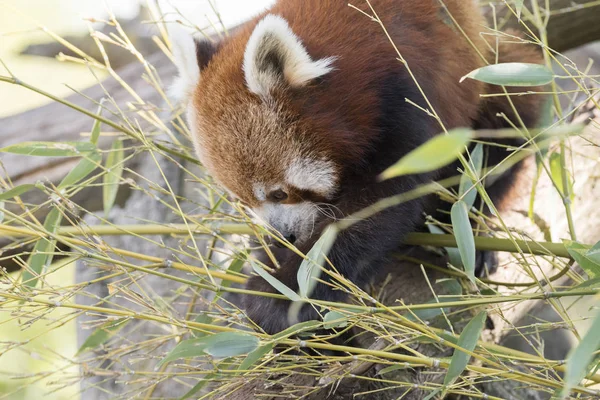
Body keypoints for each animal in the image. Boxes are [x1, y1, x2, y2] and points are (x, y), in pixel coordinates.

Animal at [169, 0, 544, 334]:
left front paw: (282, 296)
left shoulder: (407, 94)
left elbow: (376, 207)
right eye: (242, 201)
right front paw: (268, 259)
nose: (282, 236)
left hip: (494, 79)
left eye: (279, 193)